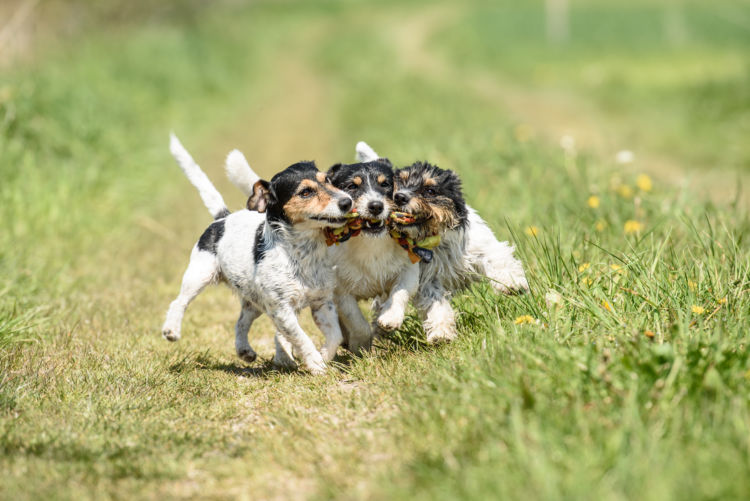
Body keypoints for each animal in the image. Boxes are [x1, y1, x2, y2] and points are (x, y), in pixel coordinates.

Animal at [161, 135, 352, 374]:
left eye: (327, 180)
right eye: (305, 192)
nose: (347, 201)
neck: (303, 252)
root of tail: (222, 218)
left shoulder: (322, 302)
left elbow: (335, 335)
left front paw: (324, 355)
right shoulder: (282, 310)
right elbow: (301, 338)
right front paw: (316, 364)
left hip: (255, 301)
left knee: (241, 322)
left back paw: (246, 351)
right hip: (199, 275)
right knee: (178, 302)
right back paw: (171, 330)